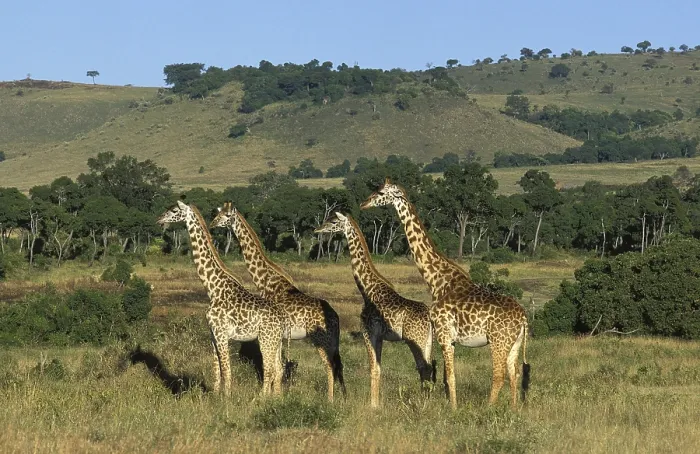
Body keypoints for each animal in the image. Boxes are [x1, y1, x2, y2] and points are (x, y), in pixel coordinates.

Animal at [157, 201, 286, 397]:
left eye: (174, 210)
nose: (159, 219)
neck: (213, 288)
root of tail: (282, 319)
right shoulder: (213, 334)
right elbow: (216, 369)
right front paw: (216, 396)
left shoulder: (221, 332)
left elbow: (226, 370)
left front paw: (227, 398)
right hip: (276, 341)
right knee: (278, 369)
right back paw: (276, 398)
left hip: (266, 339)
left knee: (270, 369)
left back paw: (260, 399)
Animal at [210, 202, 346, 402]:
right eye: (218, 213)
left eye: (227, 216)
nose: (212, 224)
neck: (264, 279)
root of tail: (336, 317)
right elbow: (278, 369)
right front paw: (277, 396)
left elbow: (275, 369)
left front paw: (271, 397)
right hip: (333, 341)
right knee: (339, 366)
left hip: (321, 339)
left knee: (330, 366)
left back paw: (330, 399)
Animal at [315, 212, 435, 408]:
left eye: (333, 221)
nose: (317, 229)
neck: (367, 289)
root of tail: (429, 319)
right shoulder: (379, 336)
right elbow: (378, 367)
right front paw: (377, 403)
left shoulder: (368, 331)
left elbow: (373, 368)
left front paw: (373, 405)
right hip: (427, 341)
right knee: (428, 367)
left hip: (415, 339)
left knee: (424, 367)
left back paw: (423, 404)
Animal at [360, 178, 530, 410]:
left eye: (380, 192)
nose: (363, 203)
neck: (436, 280)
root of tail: (523, 319)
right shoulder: (450, 338)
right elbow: (446, 376)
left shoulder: (443, 334)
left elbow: (449, 377)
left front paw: (453, 410)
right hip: (514, 343)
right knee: (515, 373)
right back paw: (513, 409)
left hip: (498, 341)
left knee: (499, 374)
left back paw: (488, 409)